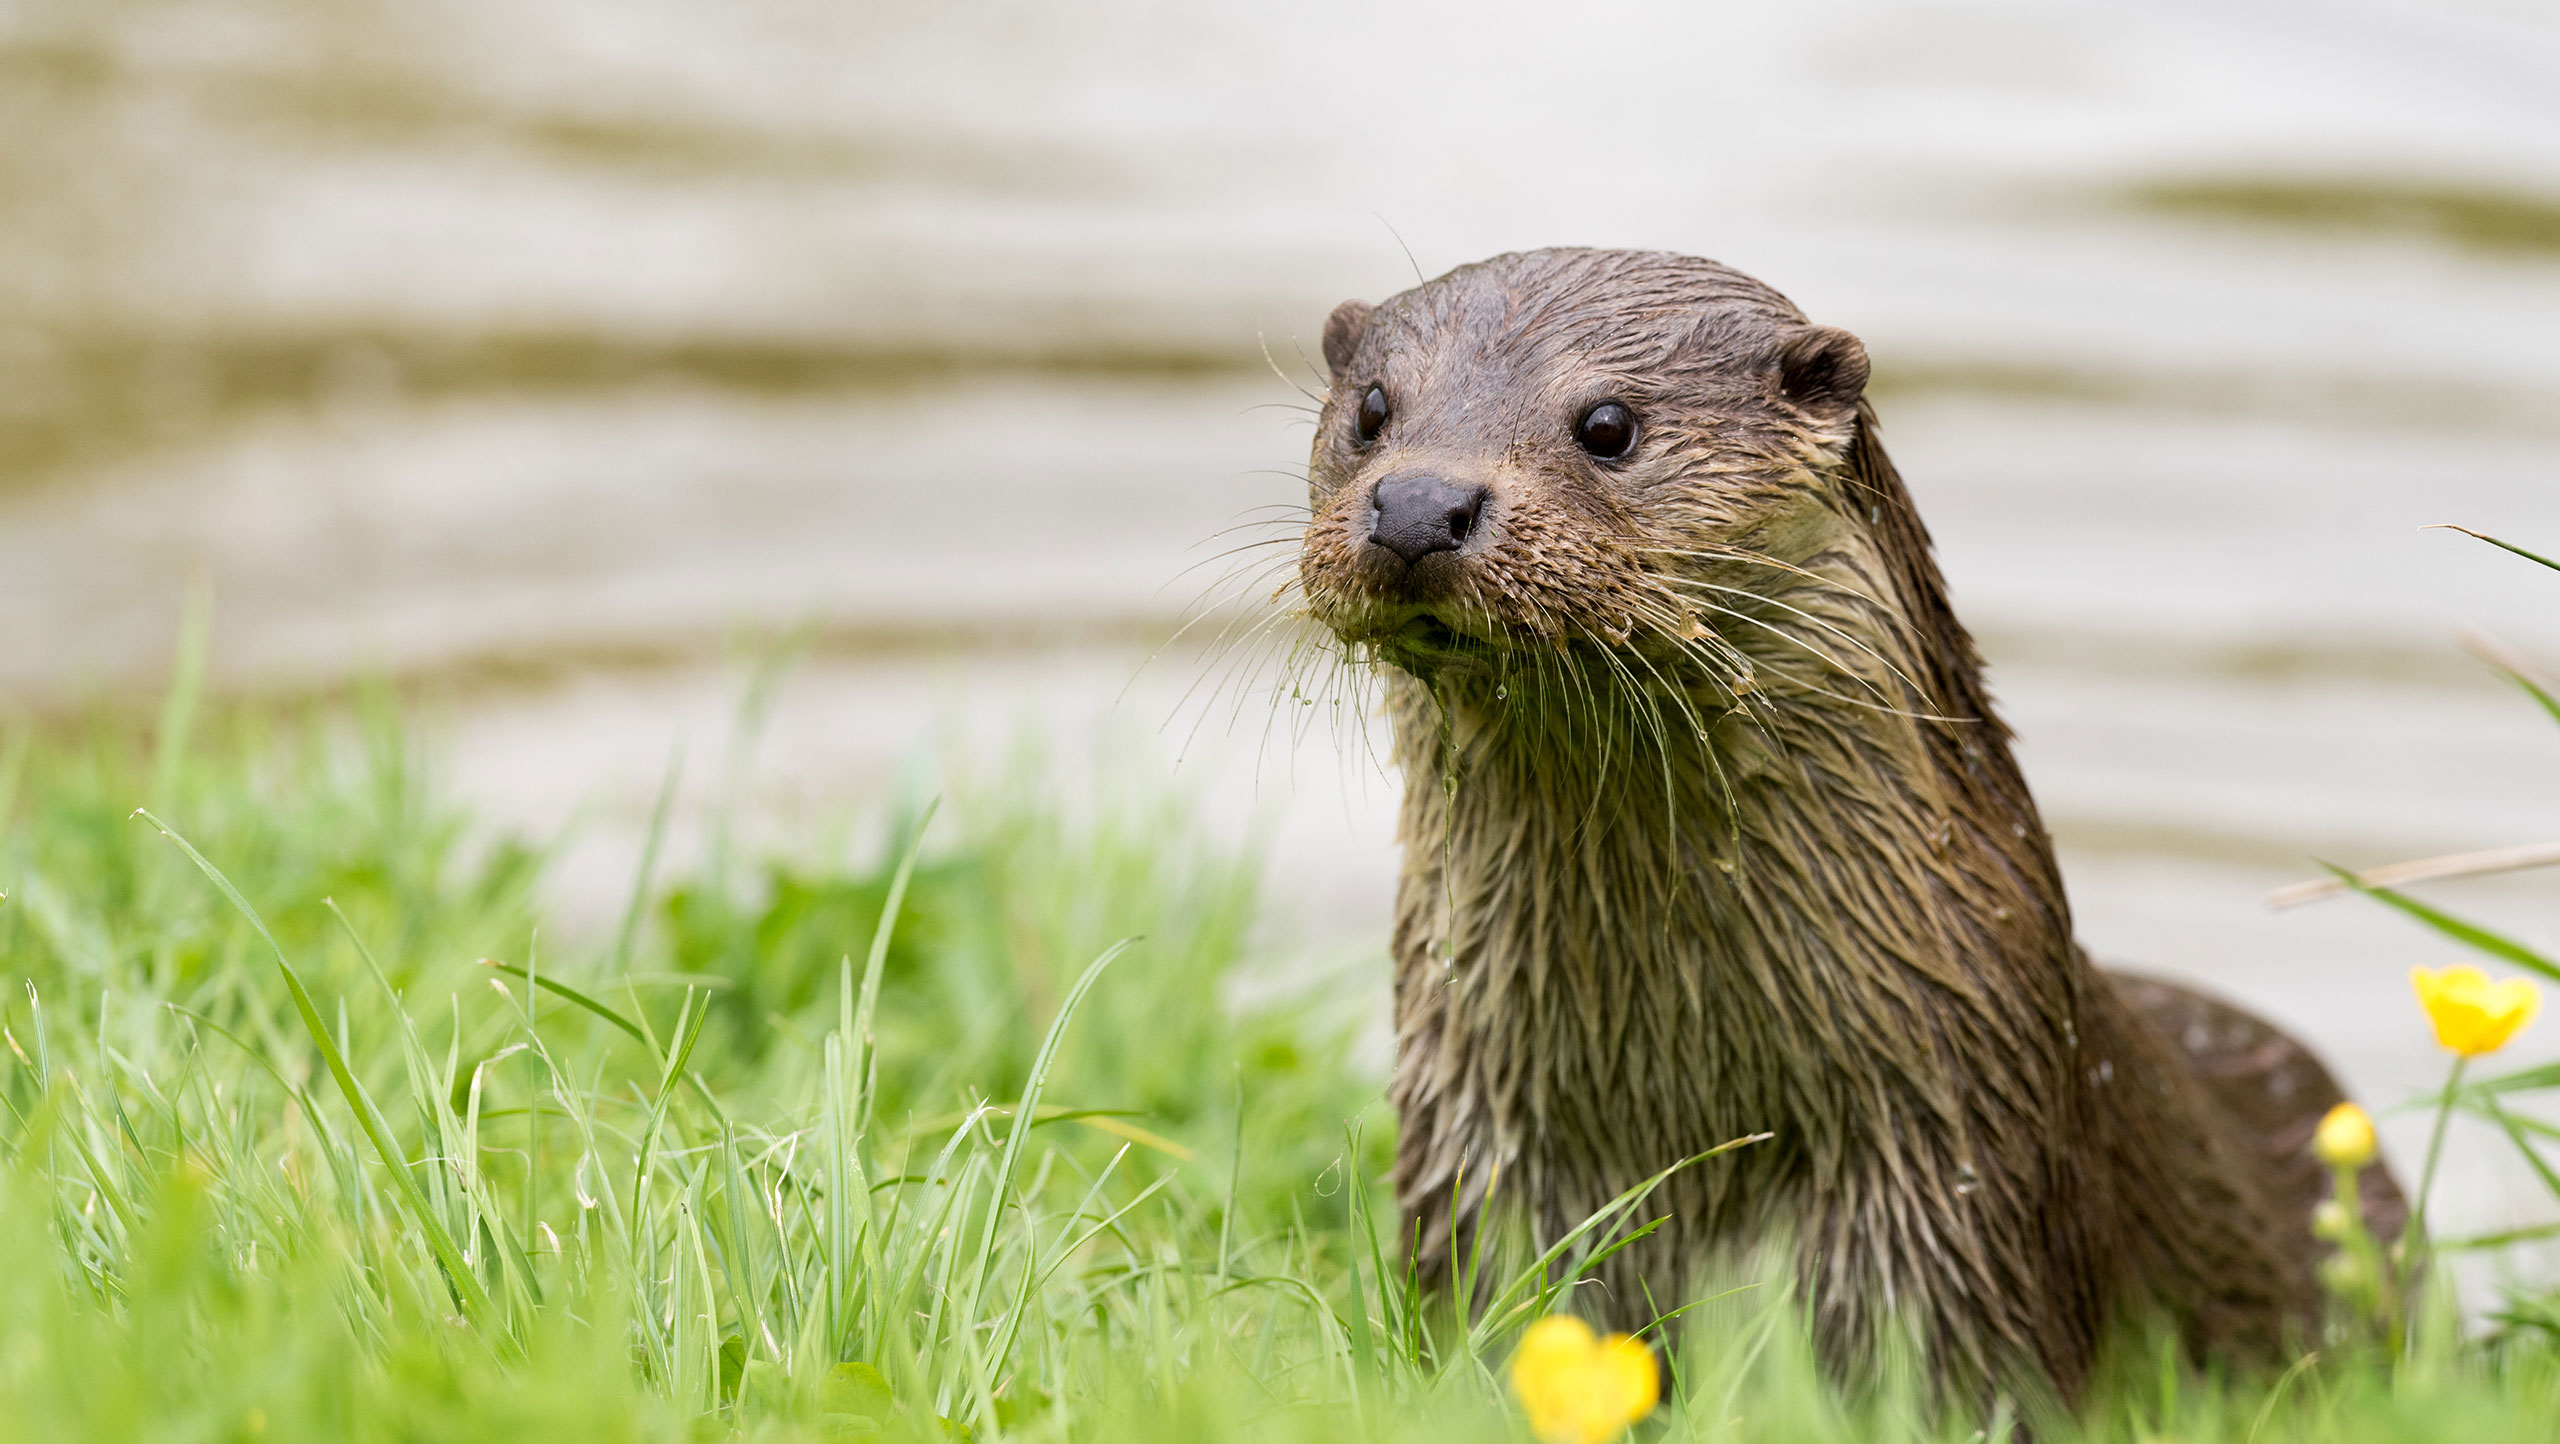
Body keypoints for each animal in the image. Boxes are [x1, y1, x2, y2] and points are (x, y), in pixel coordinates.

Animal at [1291, 248, 2403, 1402]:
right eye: (1372, 408)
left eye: (1607, 423)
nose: (1420, 504)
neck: (1687, 1104)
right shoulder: (1477, 1149)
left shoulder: (1949, 1188)